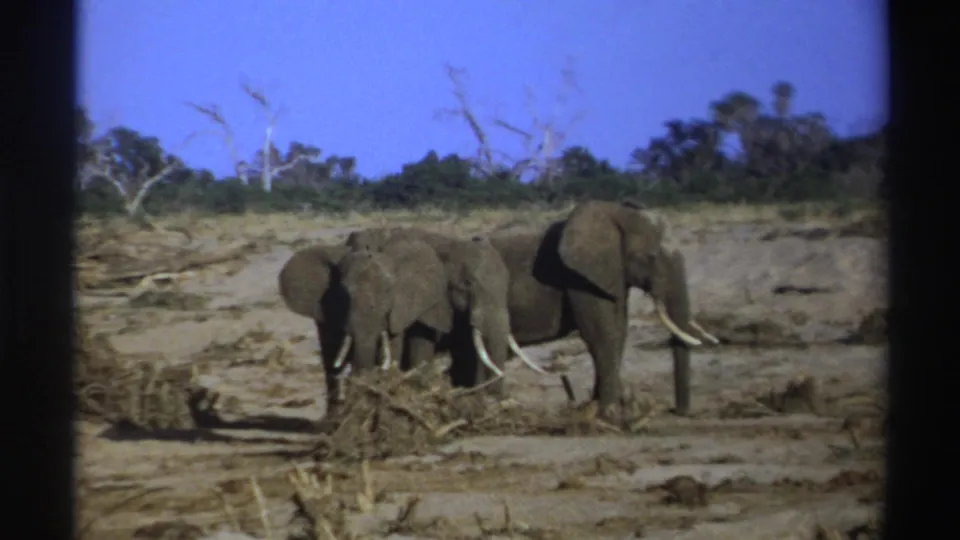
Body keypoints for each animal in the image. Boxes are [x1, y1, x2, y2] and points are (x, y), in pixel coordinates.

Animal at [486, 200, 719, 418]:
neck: (615, 212)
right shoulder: (580, 277)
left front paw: (614, 405)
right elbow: (599, 333)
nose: (679, 412)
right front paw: (611, 412)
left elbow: (619, 329)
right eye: (650, 257)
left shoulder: (611, 274)